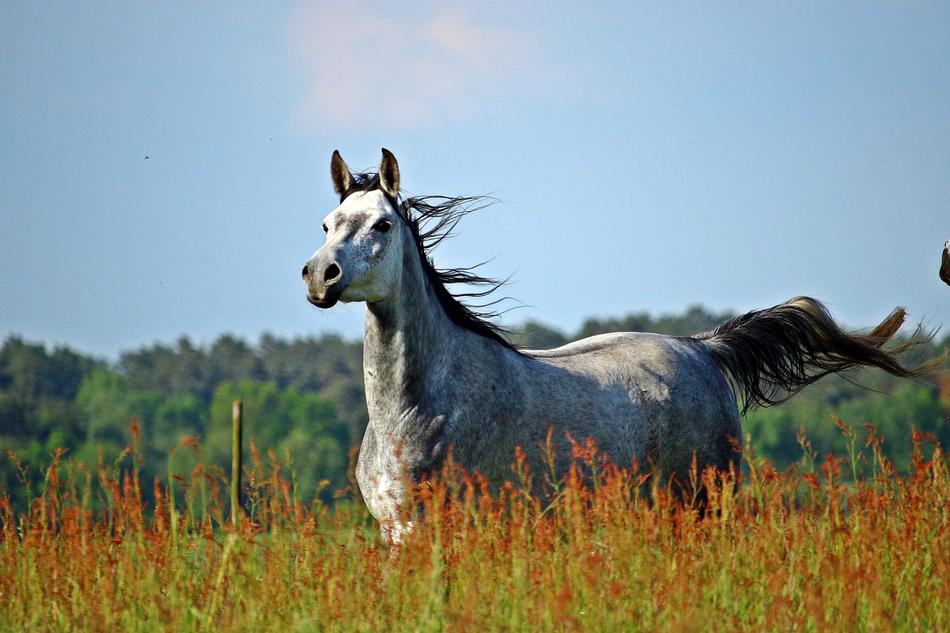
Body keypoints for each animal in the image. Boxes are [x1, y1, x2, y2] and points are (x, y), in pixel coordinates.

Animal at [302, 148, 930, 542]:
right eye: (327, 223)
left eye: (382, 225)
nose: (320, 276)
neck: (416, 409)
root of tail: (701, 348)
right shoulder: (396, 532)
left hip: (701, 505)